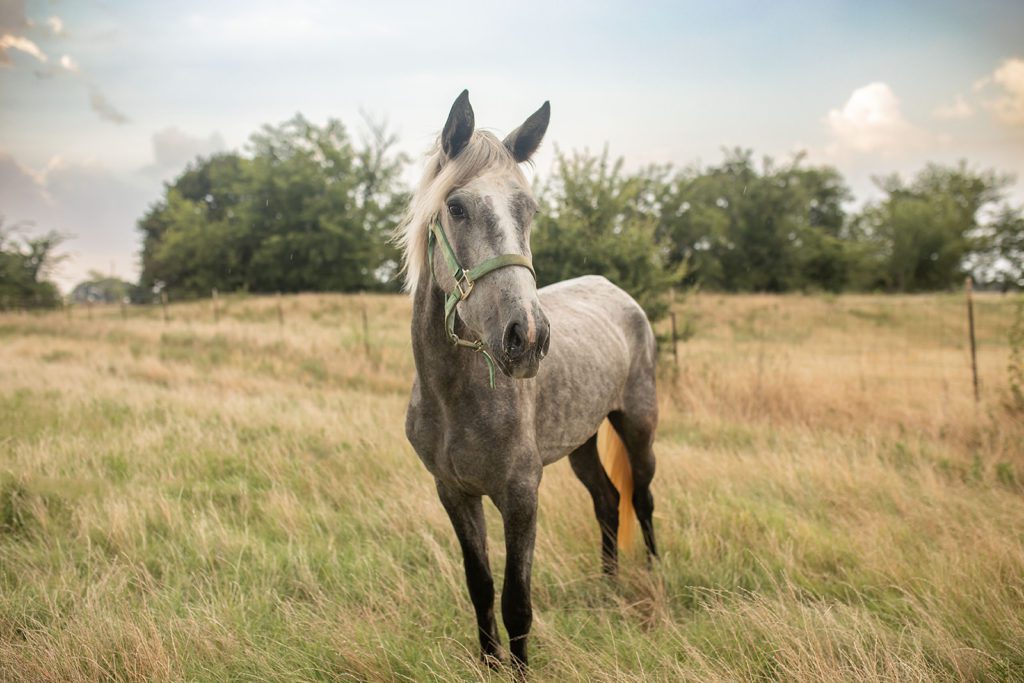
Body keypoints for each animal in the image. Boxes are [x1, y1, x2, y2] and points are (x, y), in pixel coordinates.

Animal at [395, 90, 659, 671]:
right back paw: (607, 587)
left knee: (644, 500)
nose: (528, 336)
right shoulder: (454, 493)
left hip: (639, 426)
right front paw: (490, 663)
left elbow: (517, 601)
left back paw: (655, 583)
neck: (454, 398)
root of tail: (618, 293)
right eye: (456, 207)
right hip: (582, 443)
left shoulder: (520, 494)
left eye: (529, 210)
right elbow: (480, 586)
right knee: (608, 501)